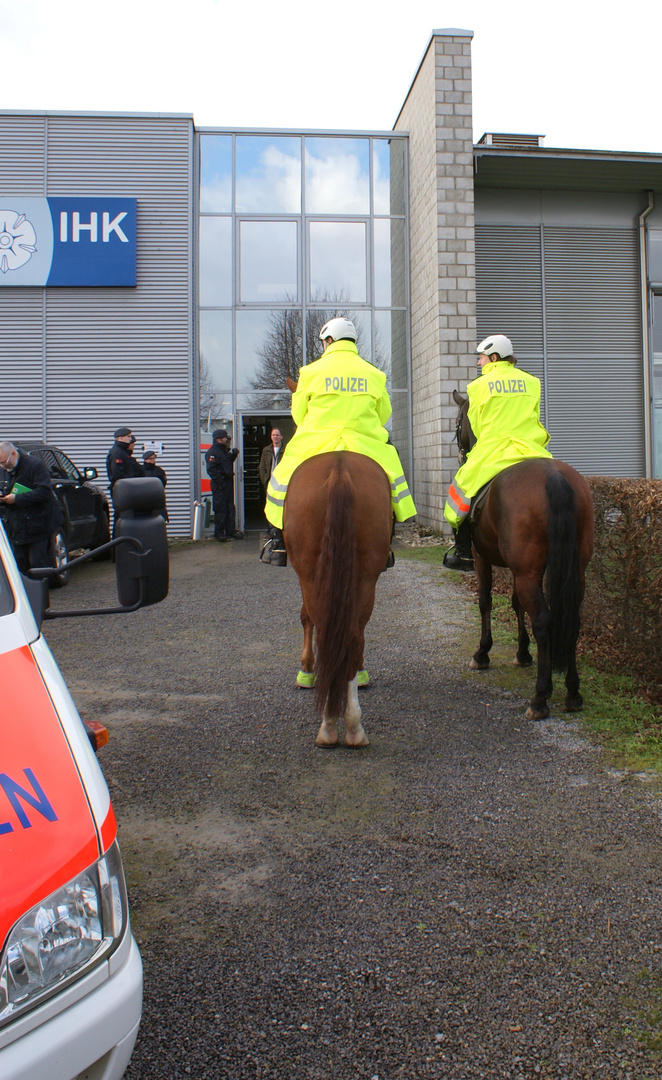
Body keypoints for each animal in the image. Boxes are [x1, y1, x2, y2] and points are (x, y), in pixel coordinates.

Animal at [282, 451, 393, 747]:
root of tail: (339, 470)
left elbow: (305, 617)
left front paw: (306, 671)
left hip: (311, 574)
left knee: (328, 632)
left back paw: (332, 723)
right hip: (365, 577)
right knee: (352, 638)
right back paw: (351, 723)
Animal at [451, 386, 596, 717]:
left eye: (458, 422)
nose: (460, 453)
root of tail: (554, 476)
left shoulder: (484, 559)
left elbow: (486, 601)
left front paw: (482, 653)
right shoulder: (519, 568)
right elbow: (516, 603)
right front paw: (522, 652)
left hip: (528, 572)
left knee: (543, 619)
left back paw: (540, 697)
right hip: (571, 570)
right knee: (572, 620)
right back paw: (573, 692)